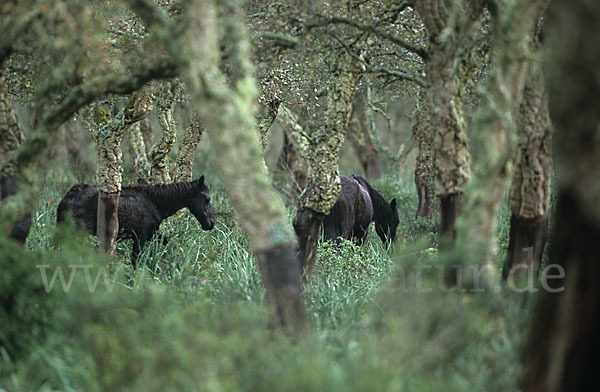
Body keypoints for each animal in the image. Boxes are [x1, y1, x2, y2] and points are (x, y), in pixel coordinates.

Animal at [56, 176, 216, 268]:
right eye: (207, 199)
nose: (211, 223)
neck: (156, 203)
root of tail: (68, 196)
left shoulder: (149, 234)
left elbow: (166, 241)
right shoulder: (141, 236)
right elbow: (135, 261)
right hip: (77, 233)